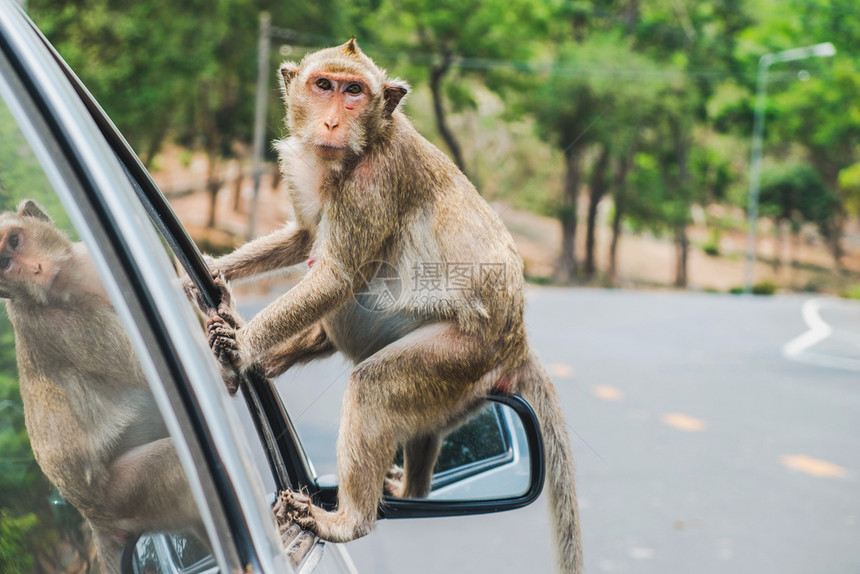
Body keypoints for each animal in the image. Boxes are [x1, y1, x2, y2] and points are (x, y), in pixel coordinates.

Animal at [0, 200, 204, 572]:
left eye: (15, 241)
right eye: (5, 265)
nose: (35, 269)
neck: (78, 282)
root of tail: (93, 518)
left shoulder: (86, 258)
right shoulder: (56, 323)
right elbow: (143, 366)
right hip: (125, 495)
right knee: (174, 466)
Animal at [198, 40, 580, 574]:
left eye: (354, 92)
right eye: (324, 85)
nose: (332, 122)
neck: (356, 151)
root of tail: (518, 335)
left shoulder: (372, 183)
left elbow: (336, 277)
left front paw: (238, 346)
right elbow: (303, 238)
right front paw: (210, 271)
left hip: (462, 352)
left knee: (373, 385)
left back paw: (348, 520)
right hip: (462, 384)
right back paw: (409, 488)